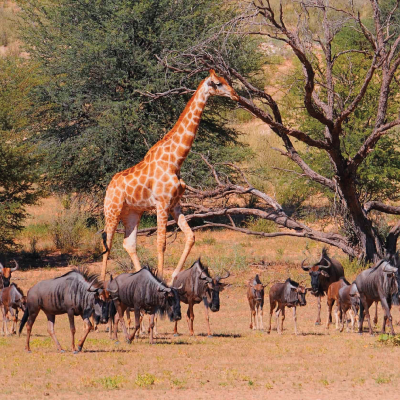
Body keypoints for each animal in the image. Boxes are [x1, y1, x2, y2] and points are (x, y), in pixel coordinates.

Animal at [101, 69, 239, 282]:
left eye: (227, 80)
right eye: (217, 83)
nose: (235, 95)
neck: (175, 160)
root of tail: (109, 187)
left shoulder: (175, 204)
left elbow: (190, 237)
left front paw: (173, 277)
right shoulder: (162, 203)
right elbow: (161, 244)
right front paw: (161, 280)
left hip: (132, 212)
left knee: (128, 243)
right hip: (112, 210)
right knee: (107, 244)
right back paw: (100, 284)